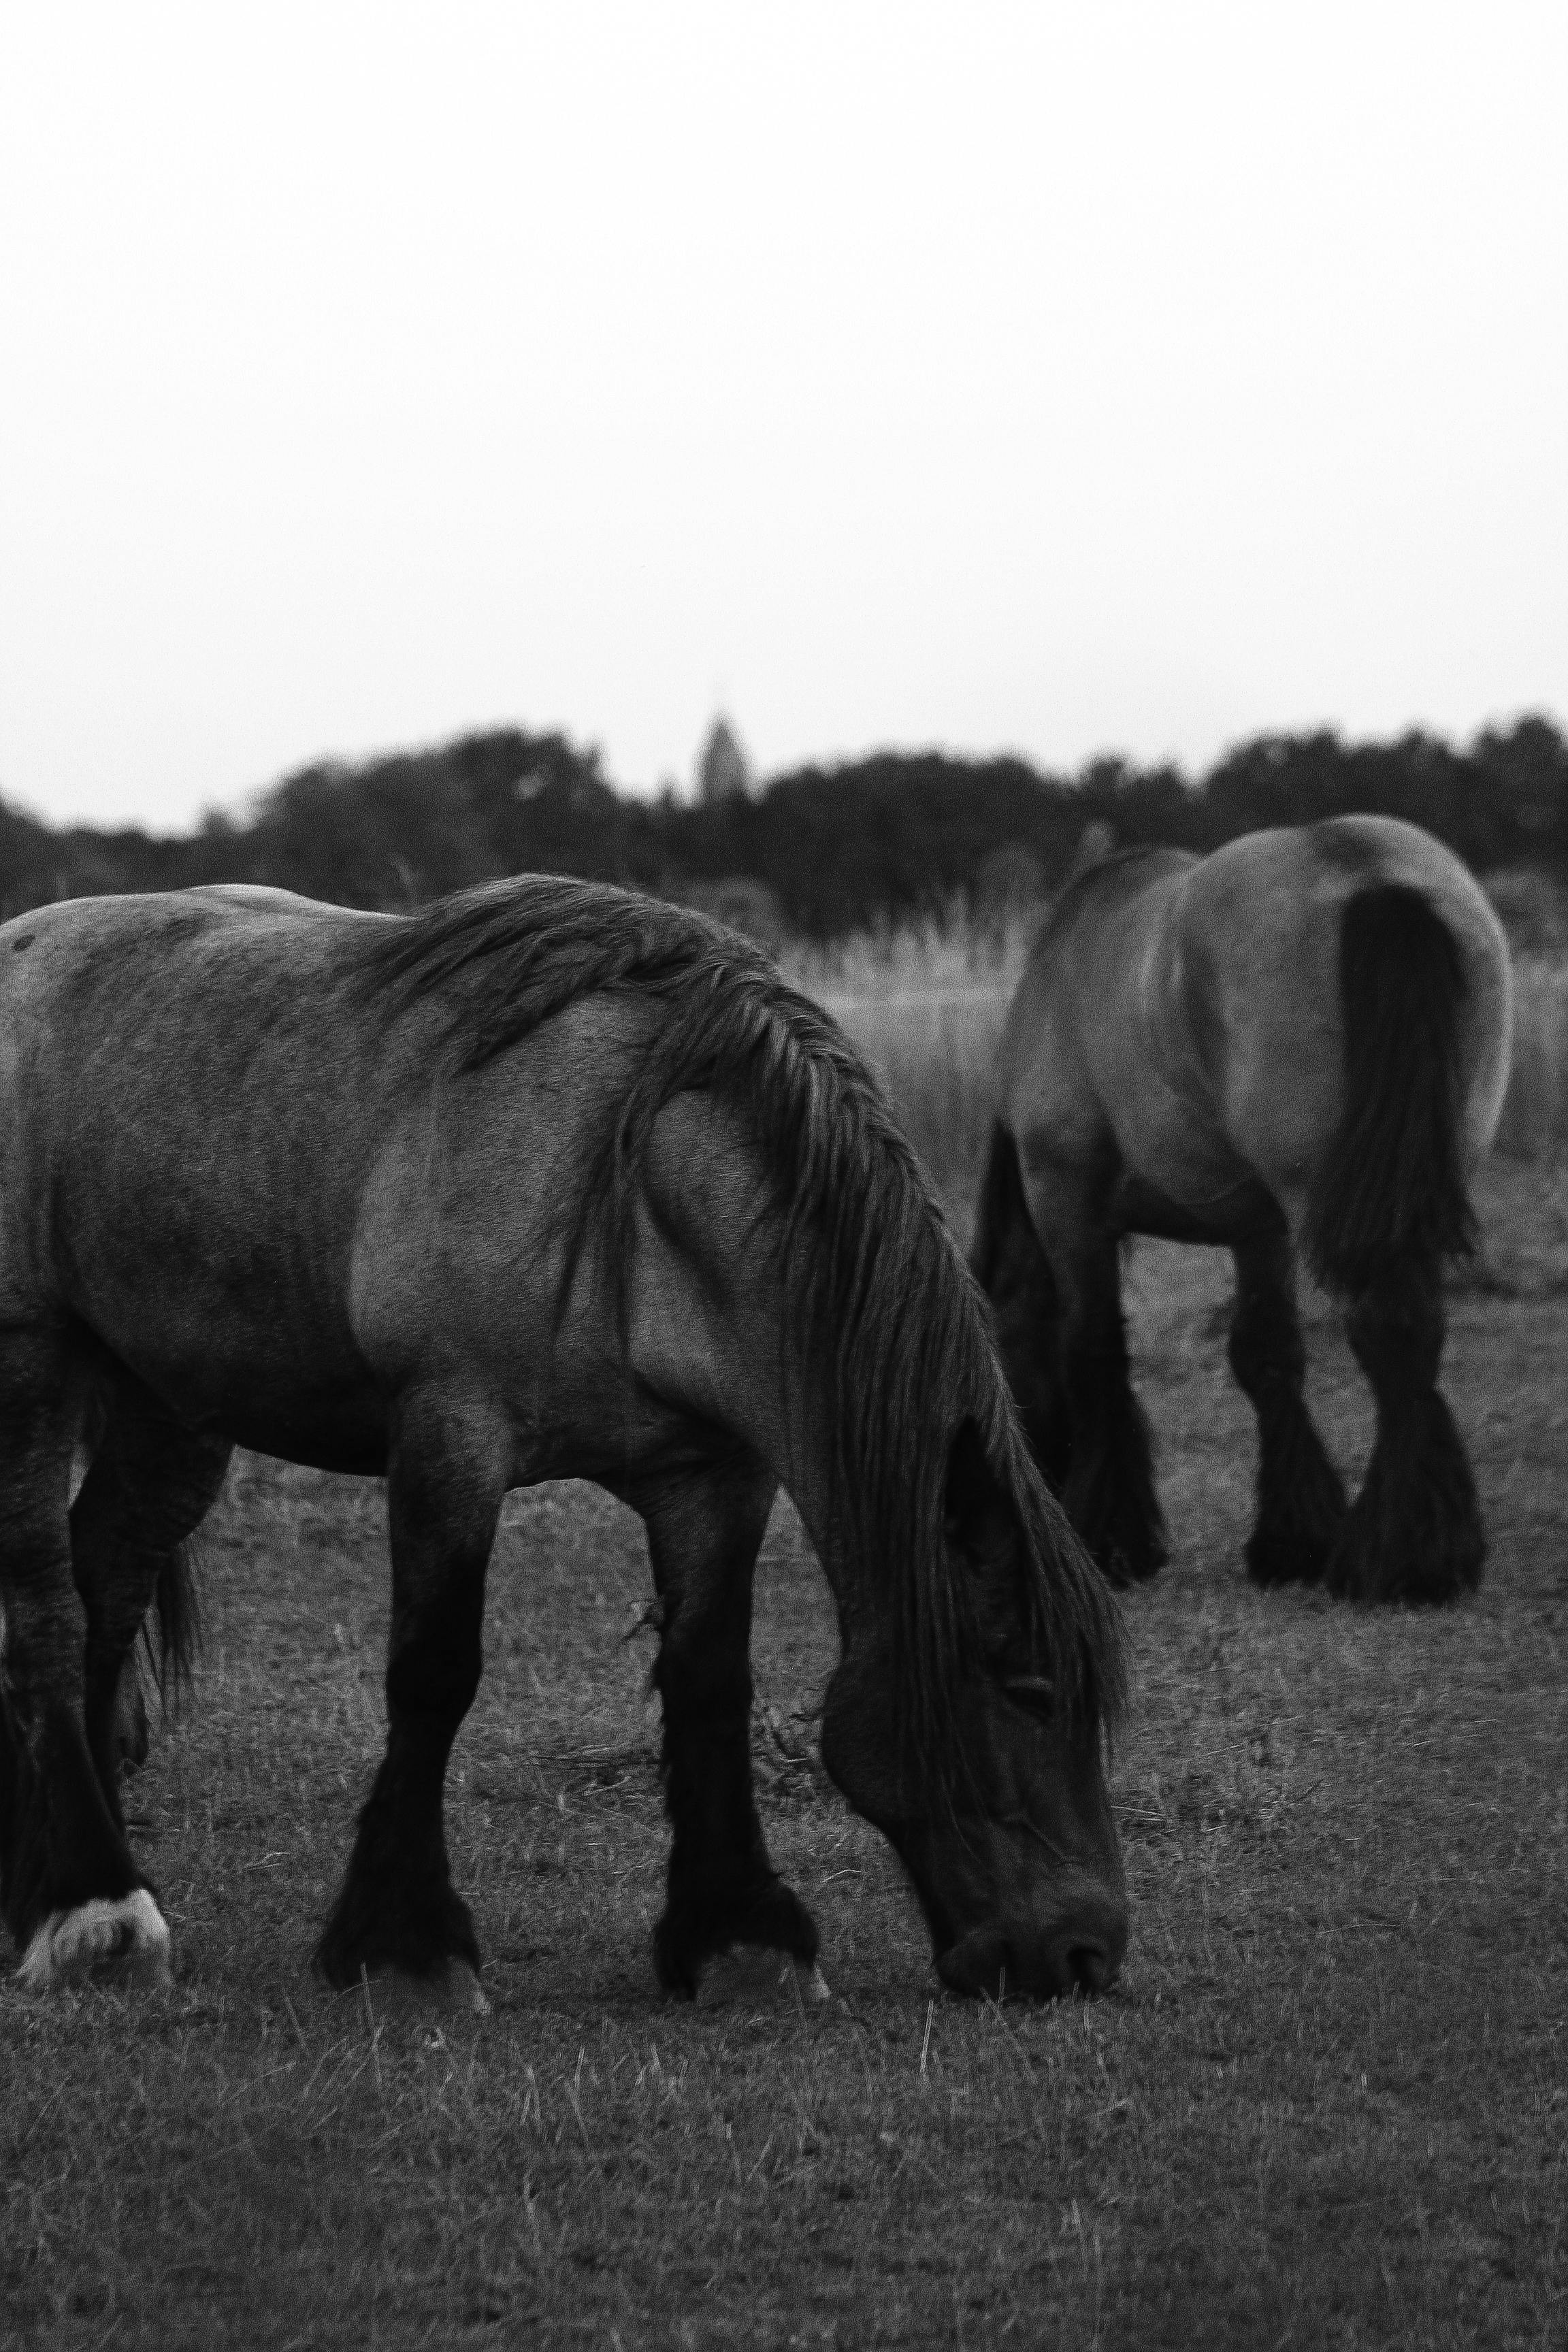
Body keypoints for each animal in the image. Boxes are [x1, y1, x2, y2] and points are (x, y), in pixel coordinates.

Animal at [0, 875, 1127, 2005]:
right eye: (1028, 1691)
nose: (1088, 1953)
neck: (636, 1201)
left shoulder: (714, 1476)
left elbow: (711, 1677)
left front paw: (741, 1933)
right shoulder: (452, 1437)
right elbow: (434, 1673)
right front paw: (408, 1945)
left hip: (171, 1408)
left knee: (107, 1589)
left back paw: (62, 1879)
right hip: (37, 1365)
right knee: (49, 1610)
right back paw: (95, 1909)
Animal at [971, 816, 1512, 1606]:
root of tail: (1367, 869)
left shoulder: (1066, 1199)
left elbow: (1092, 1350)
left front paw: (1108, 1539)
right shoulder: (1261, 1227)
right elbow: (1269, 1356)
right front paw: (1294, 1540)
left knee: (1387, 1329)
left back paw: (1400, 1559)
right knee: (1412, 1332)